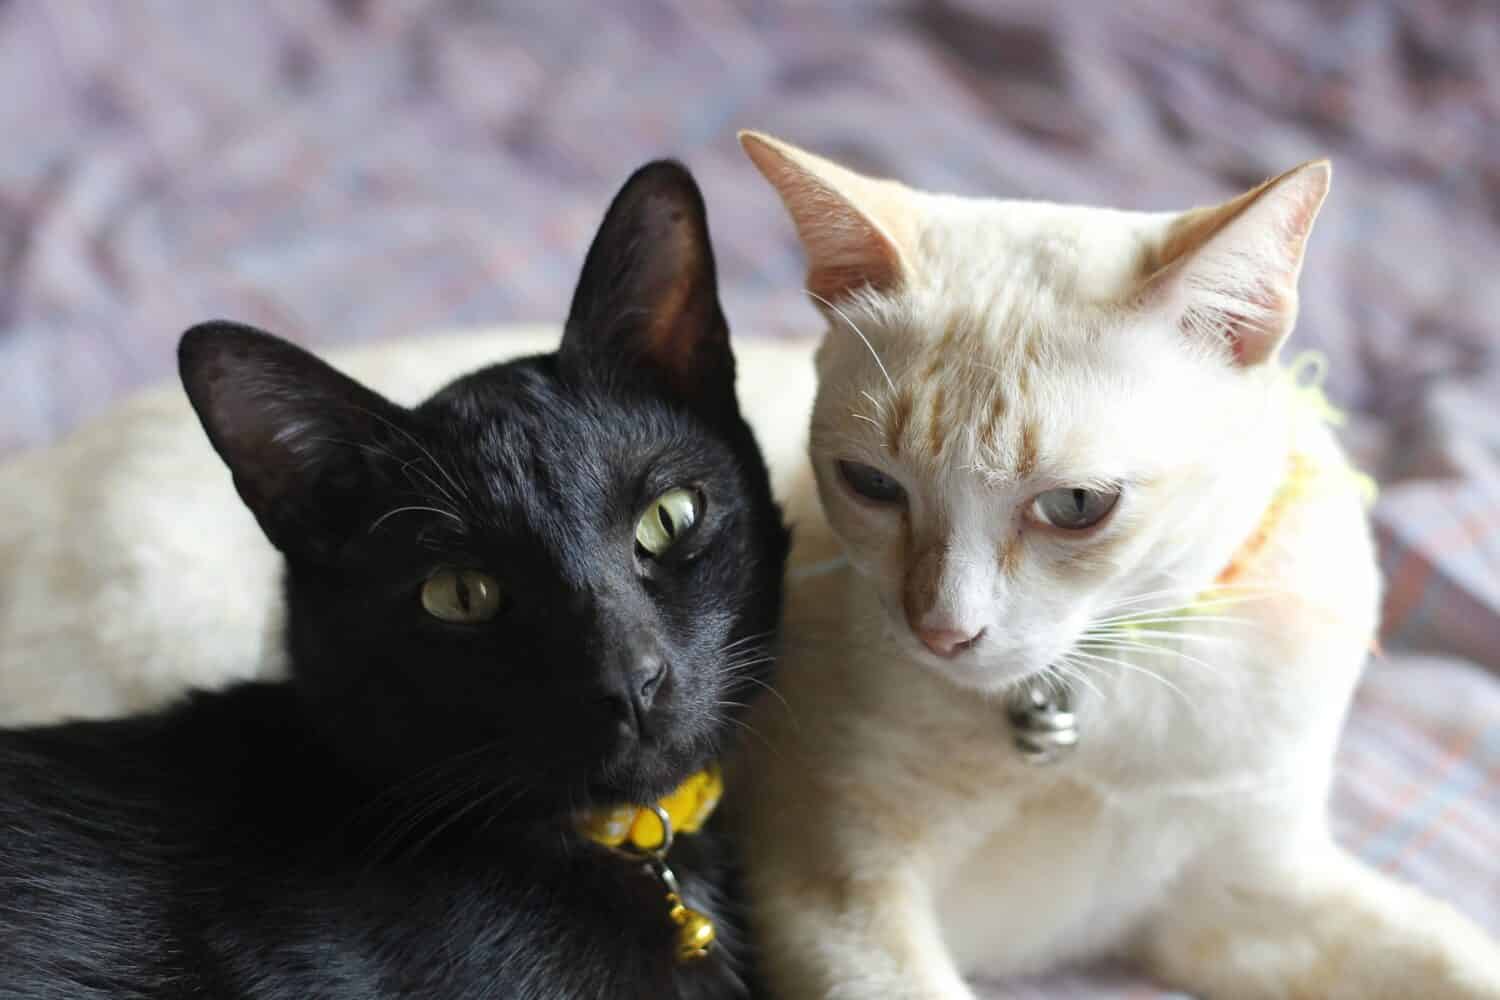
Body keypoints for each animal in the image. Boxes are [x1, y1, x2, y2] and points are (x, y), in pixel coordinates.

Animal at [735, 132, 1500, 1000]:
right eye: (871, 485)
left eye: (1075, 506)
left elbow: (1454, 954)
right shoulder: (838, 901)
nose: (942, 633)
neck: (1097, 688)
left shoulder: (1242, 898)